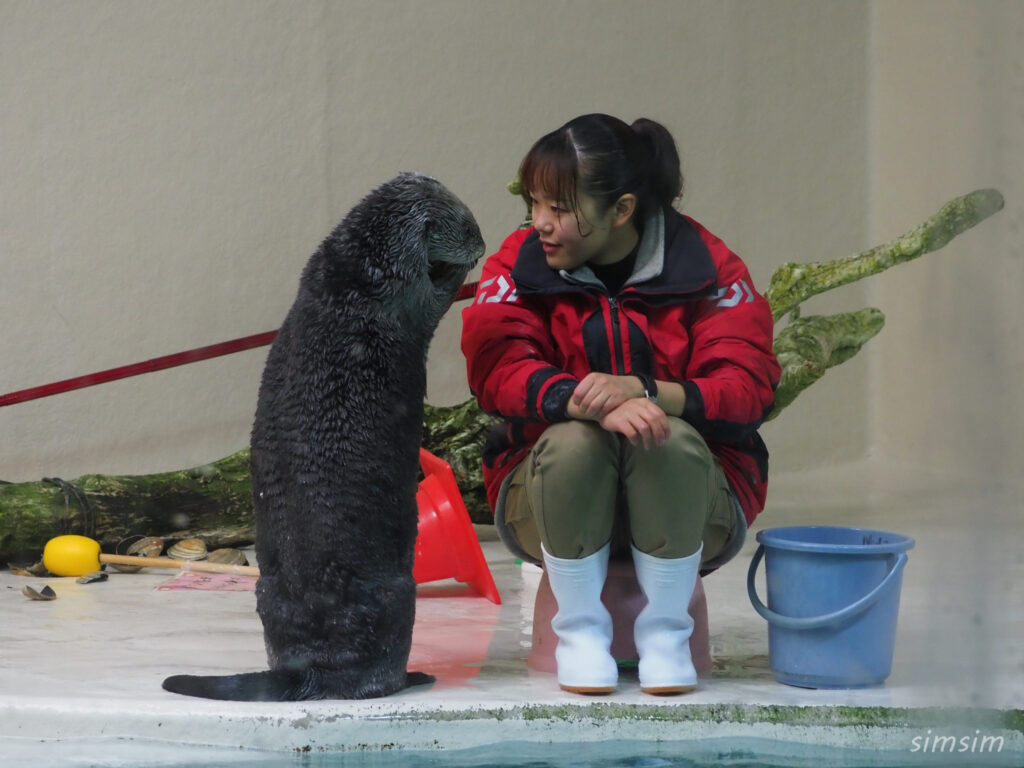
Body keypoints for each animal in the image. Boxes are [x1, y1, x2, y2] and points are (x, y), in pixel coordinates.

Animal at [162, 174, 483, 704]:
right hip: (400, 597)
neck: (350, 274)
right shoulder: (404, 292)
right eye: (467, 224)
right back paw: (414, 676)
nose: (481, 242)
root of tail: (306, 670)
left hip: (267, 596)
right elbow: (433, 299)